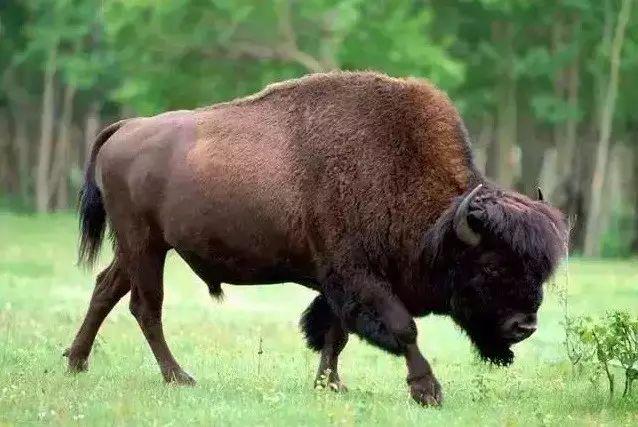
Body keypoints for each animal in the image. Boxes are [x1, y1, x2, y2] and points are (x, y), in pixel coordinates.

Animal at [63, 72, 564, 406]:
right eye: (492, 265)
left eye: (539, 270)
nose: (525, 326)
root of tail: (126, 128)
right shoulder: (359, 278)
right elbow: (402, 328)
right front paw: (428, 391)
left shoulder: (339, 283)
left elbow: (334, 333)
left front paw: (331, 384)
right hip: (145, 245)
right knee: (145, 306)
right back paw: (178, 376)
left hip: (140, 248)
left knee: (106, 289)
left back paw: (76, 361)